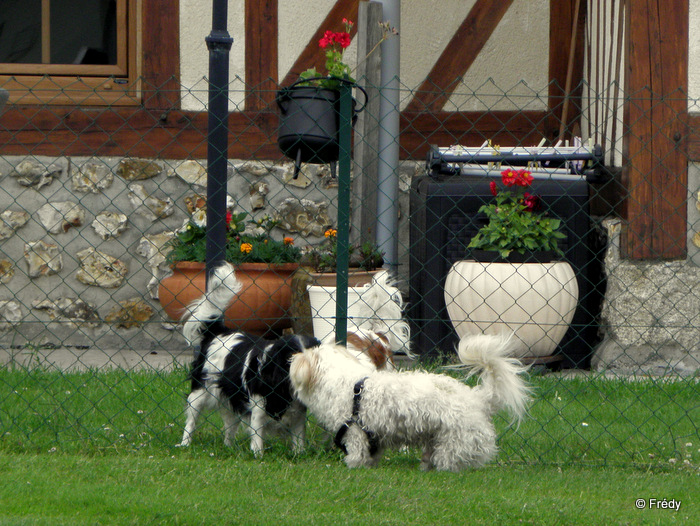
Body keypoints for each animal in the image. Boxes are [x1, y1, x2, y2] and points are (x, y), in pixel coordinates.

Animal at [178, 264, 320, 458]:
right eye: (291, 358)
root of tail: (219, 331)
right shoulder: (258, 410)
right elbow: (257, 438)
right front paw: (258, 457)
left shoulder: (298, 415)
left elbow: (298, 440)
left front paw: (299, 456)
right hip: (200, 393)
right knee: (191, 421)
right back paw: (185, 444)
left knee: (229, 427)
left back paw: (228, 448)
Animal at [290, 336, 532, 476]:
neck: (349, 385)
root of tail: (478, 398)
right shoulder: (374, 438)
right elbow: (371, 455)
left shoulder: (355, 432)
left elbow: (357, 454)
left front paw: (353, 466)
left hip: (454, 442)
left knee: (451, 462)